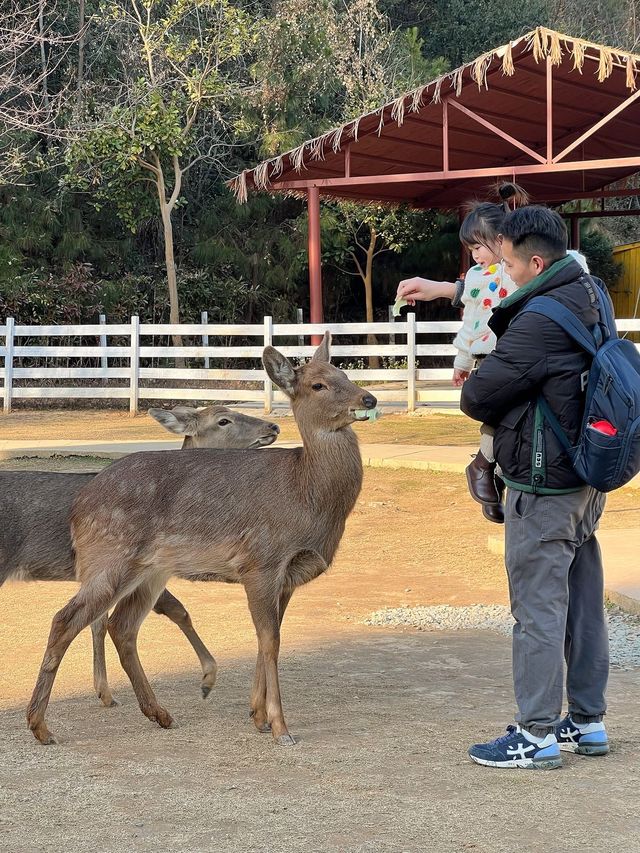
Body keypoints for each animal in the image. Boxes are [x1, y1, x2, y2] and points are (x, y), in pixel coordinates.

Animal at [1, 406, 278, 704]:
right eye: (223, 420)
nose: (273, 427)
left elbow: (103, 622)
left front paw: (104, 691)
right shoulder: (144, 567)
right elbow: (176, 611)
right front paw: (207, 678)